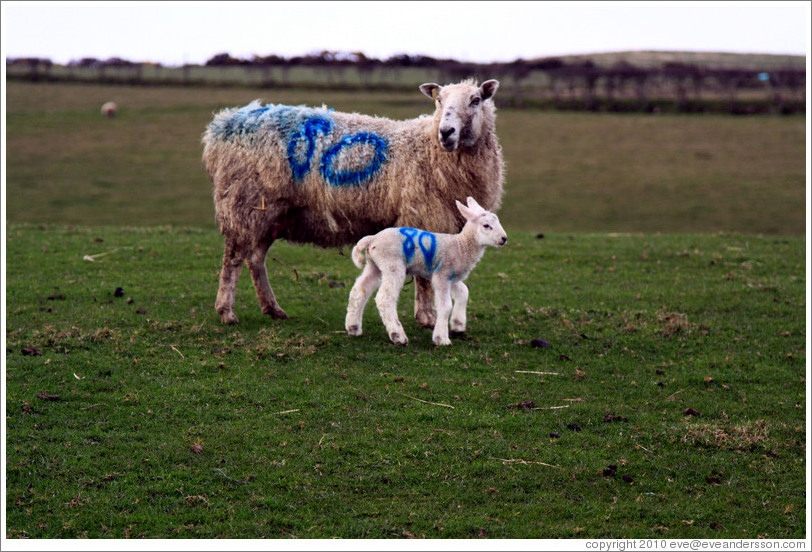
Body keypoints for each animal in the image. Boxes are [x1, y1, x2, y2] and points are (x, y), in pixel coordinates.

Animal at [203, 79, 504, 326]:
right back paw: (226, 311)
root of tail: (222, 125)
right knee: (233, 257)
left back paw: (272, 309)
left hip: (271, 213)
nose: (446, 132)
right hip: (245, 202)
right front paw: (427, 317)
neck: (429, 147)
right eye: (438, 100)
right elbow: (423, 277)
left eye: (476, 100)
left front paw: (426, 316)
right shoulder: (422, 216)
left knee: (255, 258)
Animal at [344, 197, 508, 344]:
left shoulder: (452, 277)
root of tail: (372, 239)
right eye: (486, 225)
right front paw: (441, 338)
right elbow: (445, 306)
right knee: (385, 298)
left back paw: (353, 327)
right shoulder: (442, 274)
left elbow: (464, 292)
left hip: (375, 266)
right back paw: (398, 336)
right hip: (392, 265)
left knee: (360, 289)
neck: (461, 246)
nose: (504, 239)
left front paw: (458, 325)